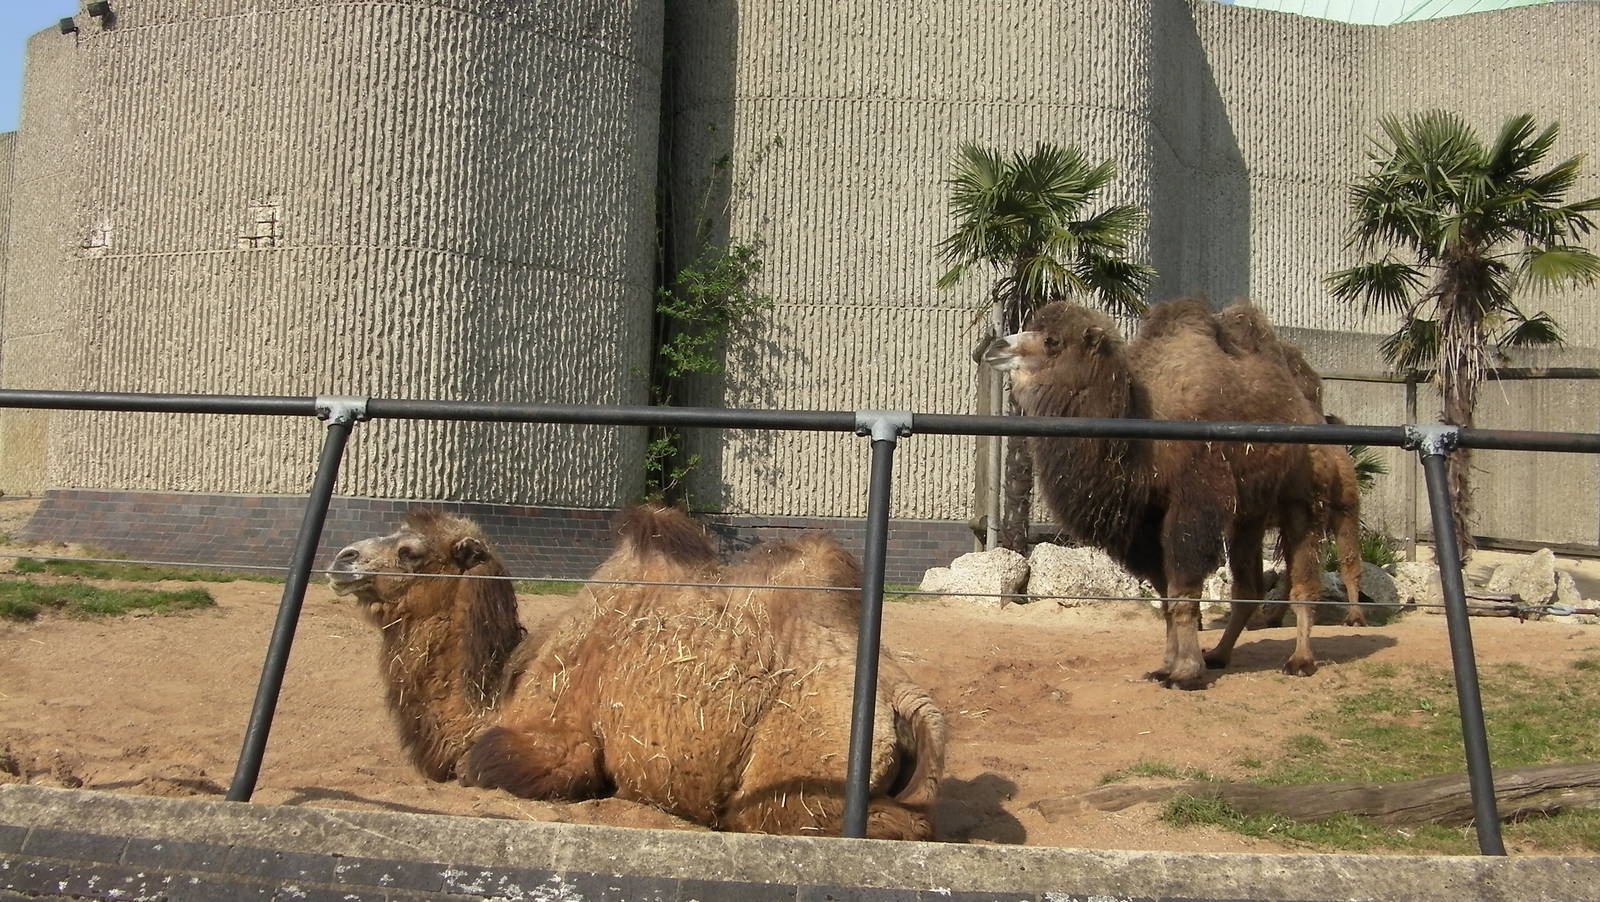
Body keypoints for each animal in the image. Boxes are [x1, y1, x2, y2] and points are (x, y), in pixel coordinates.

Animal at [327, 506, 945, 839]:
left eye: (410, 551)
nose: (342, 558)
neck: (498, 693)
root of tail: (904, 697)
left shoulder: (560, 740)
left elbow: (481, 765)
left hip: (800, 775)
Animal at [983, 298, 1328, 689]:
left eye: (1052, 341)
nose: (996, 347)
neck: (1141, 440)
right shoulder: (1144, 522)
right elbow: (1164, 595)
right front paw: (1166, 665)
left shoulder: (1192, 504)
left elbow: (1182, 589)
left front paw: (1186, 672)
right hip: (1248, 515)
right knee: (1247, 587)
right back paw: (1219, 655)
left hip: (1300, 497)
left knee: (1302, 578)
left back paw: (1300, 660)